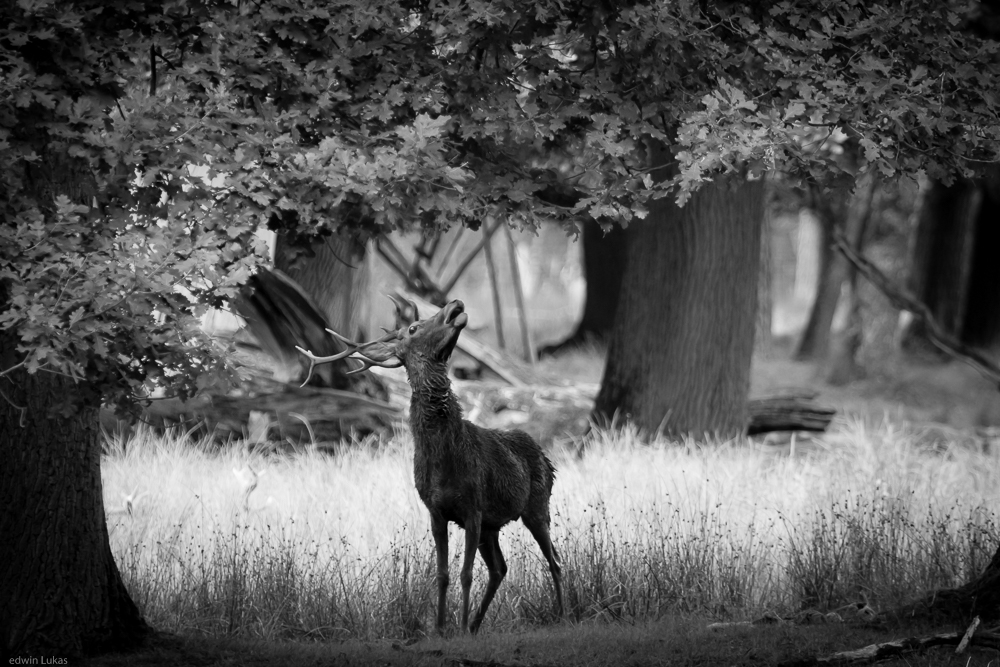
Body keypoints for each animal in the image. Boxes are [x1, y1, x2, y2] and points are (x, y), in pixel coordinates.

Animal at [296, 300, 564, 636]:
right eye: (413, 328)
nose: (455, 304)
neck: (444, 459)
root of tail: (546, 457)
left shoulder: (473, 508)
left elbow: (466, 574)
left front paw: (457, 628)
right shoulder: (437, 511)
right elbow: (443, 573)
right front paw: (440, 628)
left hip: (537, 505)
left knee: (554, 560)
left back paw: (564, 612)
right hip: (494, 525)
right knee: (500, 568)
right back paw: (476, 625)